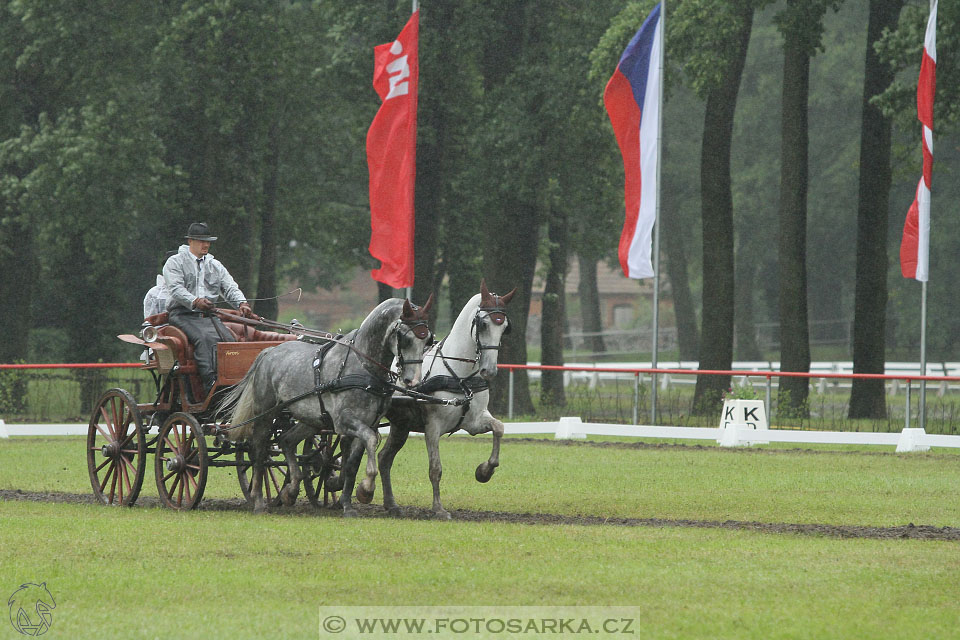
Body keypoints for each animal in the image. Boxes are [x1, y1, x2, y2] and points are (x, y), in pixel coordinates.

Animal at [221, 298, 432, 516]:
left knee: (286, 440)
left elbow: (352, 463)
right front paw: (366, 489)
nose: (413, 380)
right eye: (404, 338)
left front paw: (346, 503)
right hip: (265, 413)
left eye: (428, 340)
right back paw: (258, 500)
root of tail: (269, 351)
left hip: (311, 420)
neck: (362, 366)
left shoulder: (368, 423)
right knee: (260, 451)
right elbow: (370, 441)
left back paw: (291, 490)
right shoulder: (345, 422)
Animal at [380, 282, 516, 520]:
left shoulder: (474, 422)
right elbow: (435, 468)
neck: (460, 375)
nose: (489, 371)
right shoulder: (433, 427)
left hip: (400, 426)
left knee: (384, 458)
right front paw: (439, 508)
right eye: (483, 324)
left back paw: (388, 503)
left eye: (505, 327)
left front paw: (484, 471)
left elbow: (499, 428)